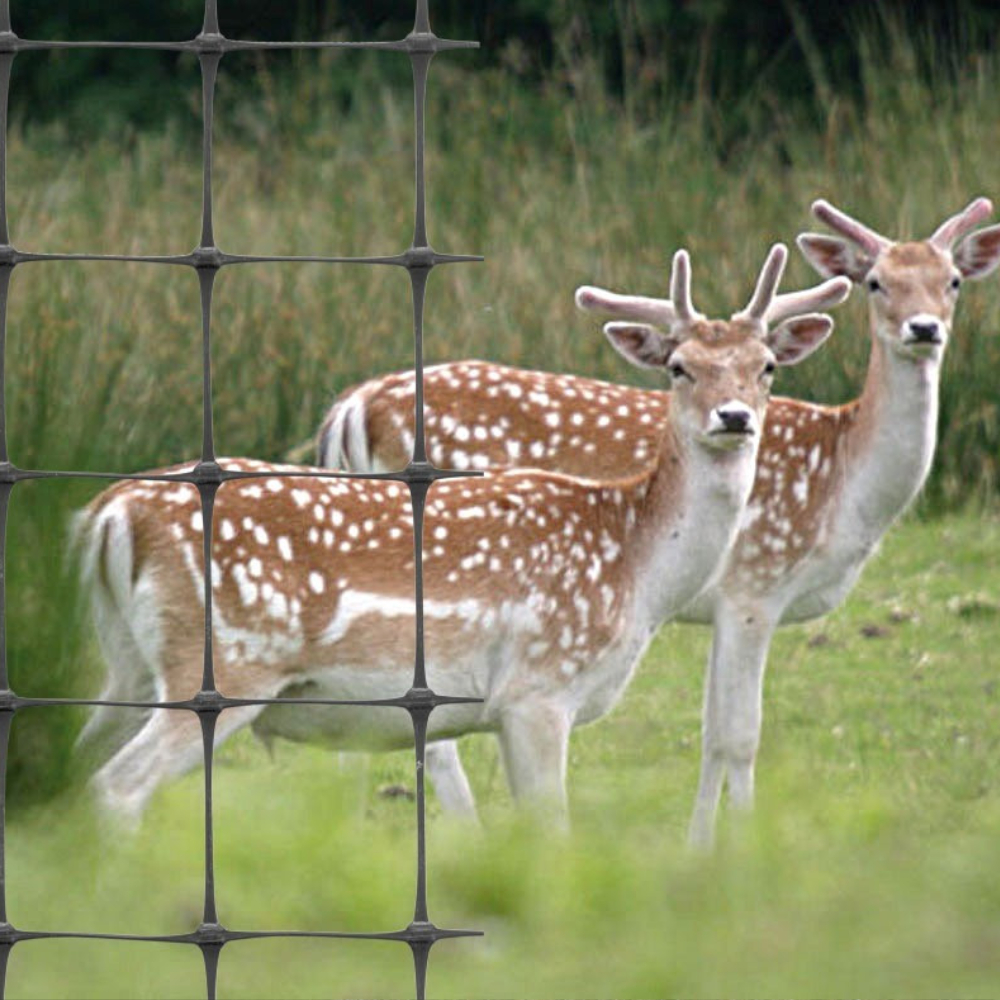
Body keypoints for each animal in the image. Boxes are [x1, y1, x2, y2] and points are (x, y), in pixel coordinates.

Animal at [316, 197, 1000, 844]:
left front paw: (701, 845)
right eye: (876, 282)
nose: (923, 328)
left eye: (953, 281)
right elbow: (738, 735)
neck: (845, 490)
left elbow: (711, 731)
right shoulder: (755, 585)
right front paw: (736, 846)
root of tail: (354, 405)